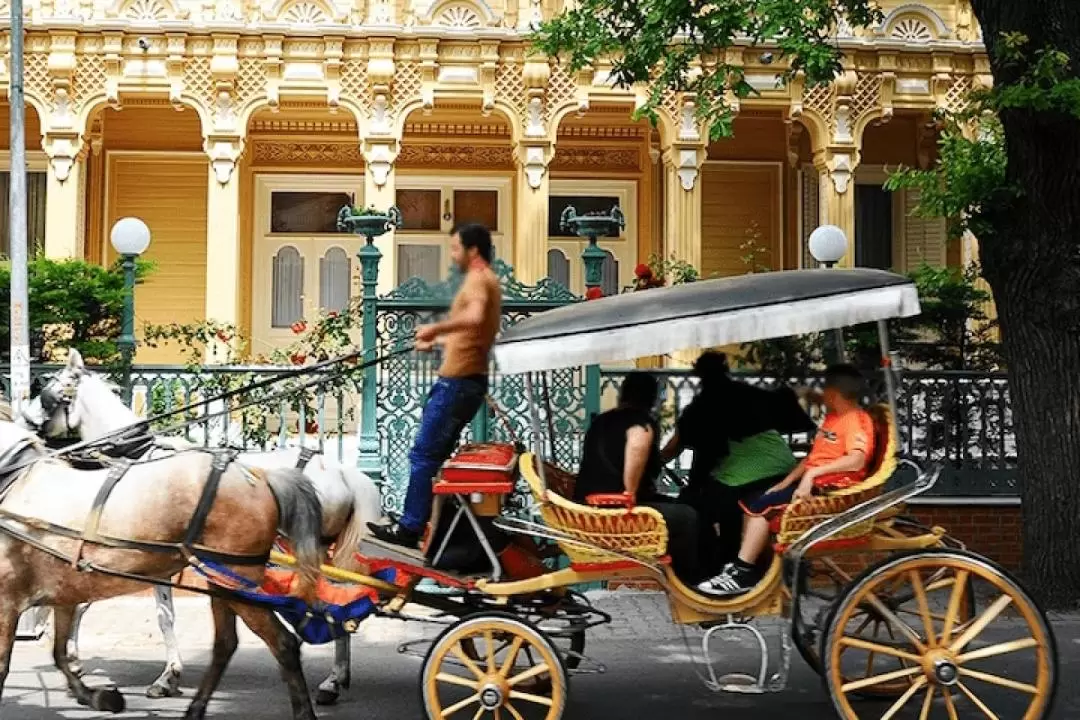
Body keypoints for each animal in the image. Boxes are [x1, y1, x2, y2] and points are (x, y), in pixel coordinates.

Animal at [19, 351, 384, 708]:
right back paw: (336, 678)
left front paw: (163, 677)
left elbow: (151, 613)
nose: (24, 421)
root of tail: (343, 471)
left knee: (332, 605)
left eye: (48, 391)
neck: (137, 456)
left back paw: (331, 681)